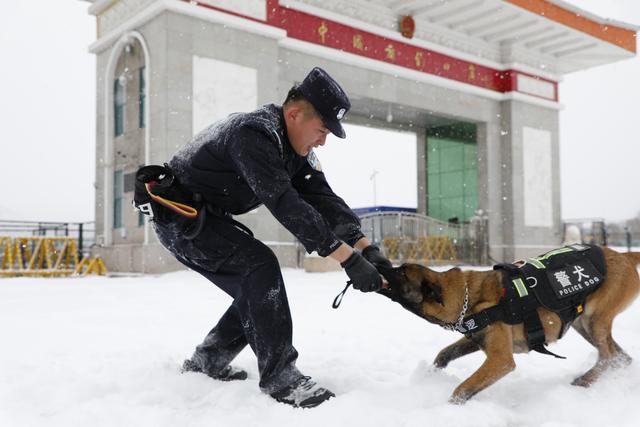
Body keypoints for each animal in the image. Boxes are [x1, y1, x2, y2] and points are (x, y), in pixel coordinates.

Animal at [378, 247, 640, 404]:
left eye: (402, 272)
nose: (379, 265)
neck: (466, 295)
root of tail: (623, 255)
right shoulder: (477, 339)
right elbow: (445, 354)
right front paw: (429, 376)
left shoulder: (500, 360)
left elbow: (462, 389)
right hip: (582, 323)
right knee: (621, 357)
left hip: (595, 320)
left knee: (608, 356)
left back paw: (585, 380)